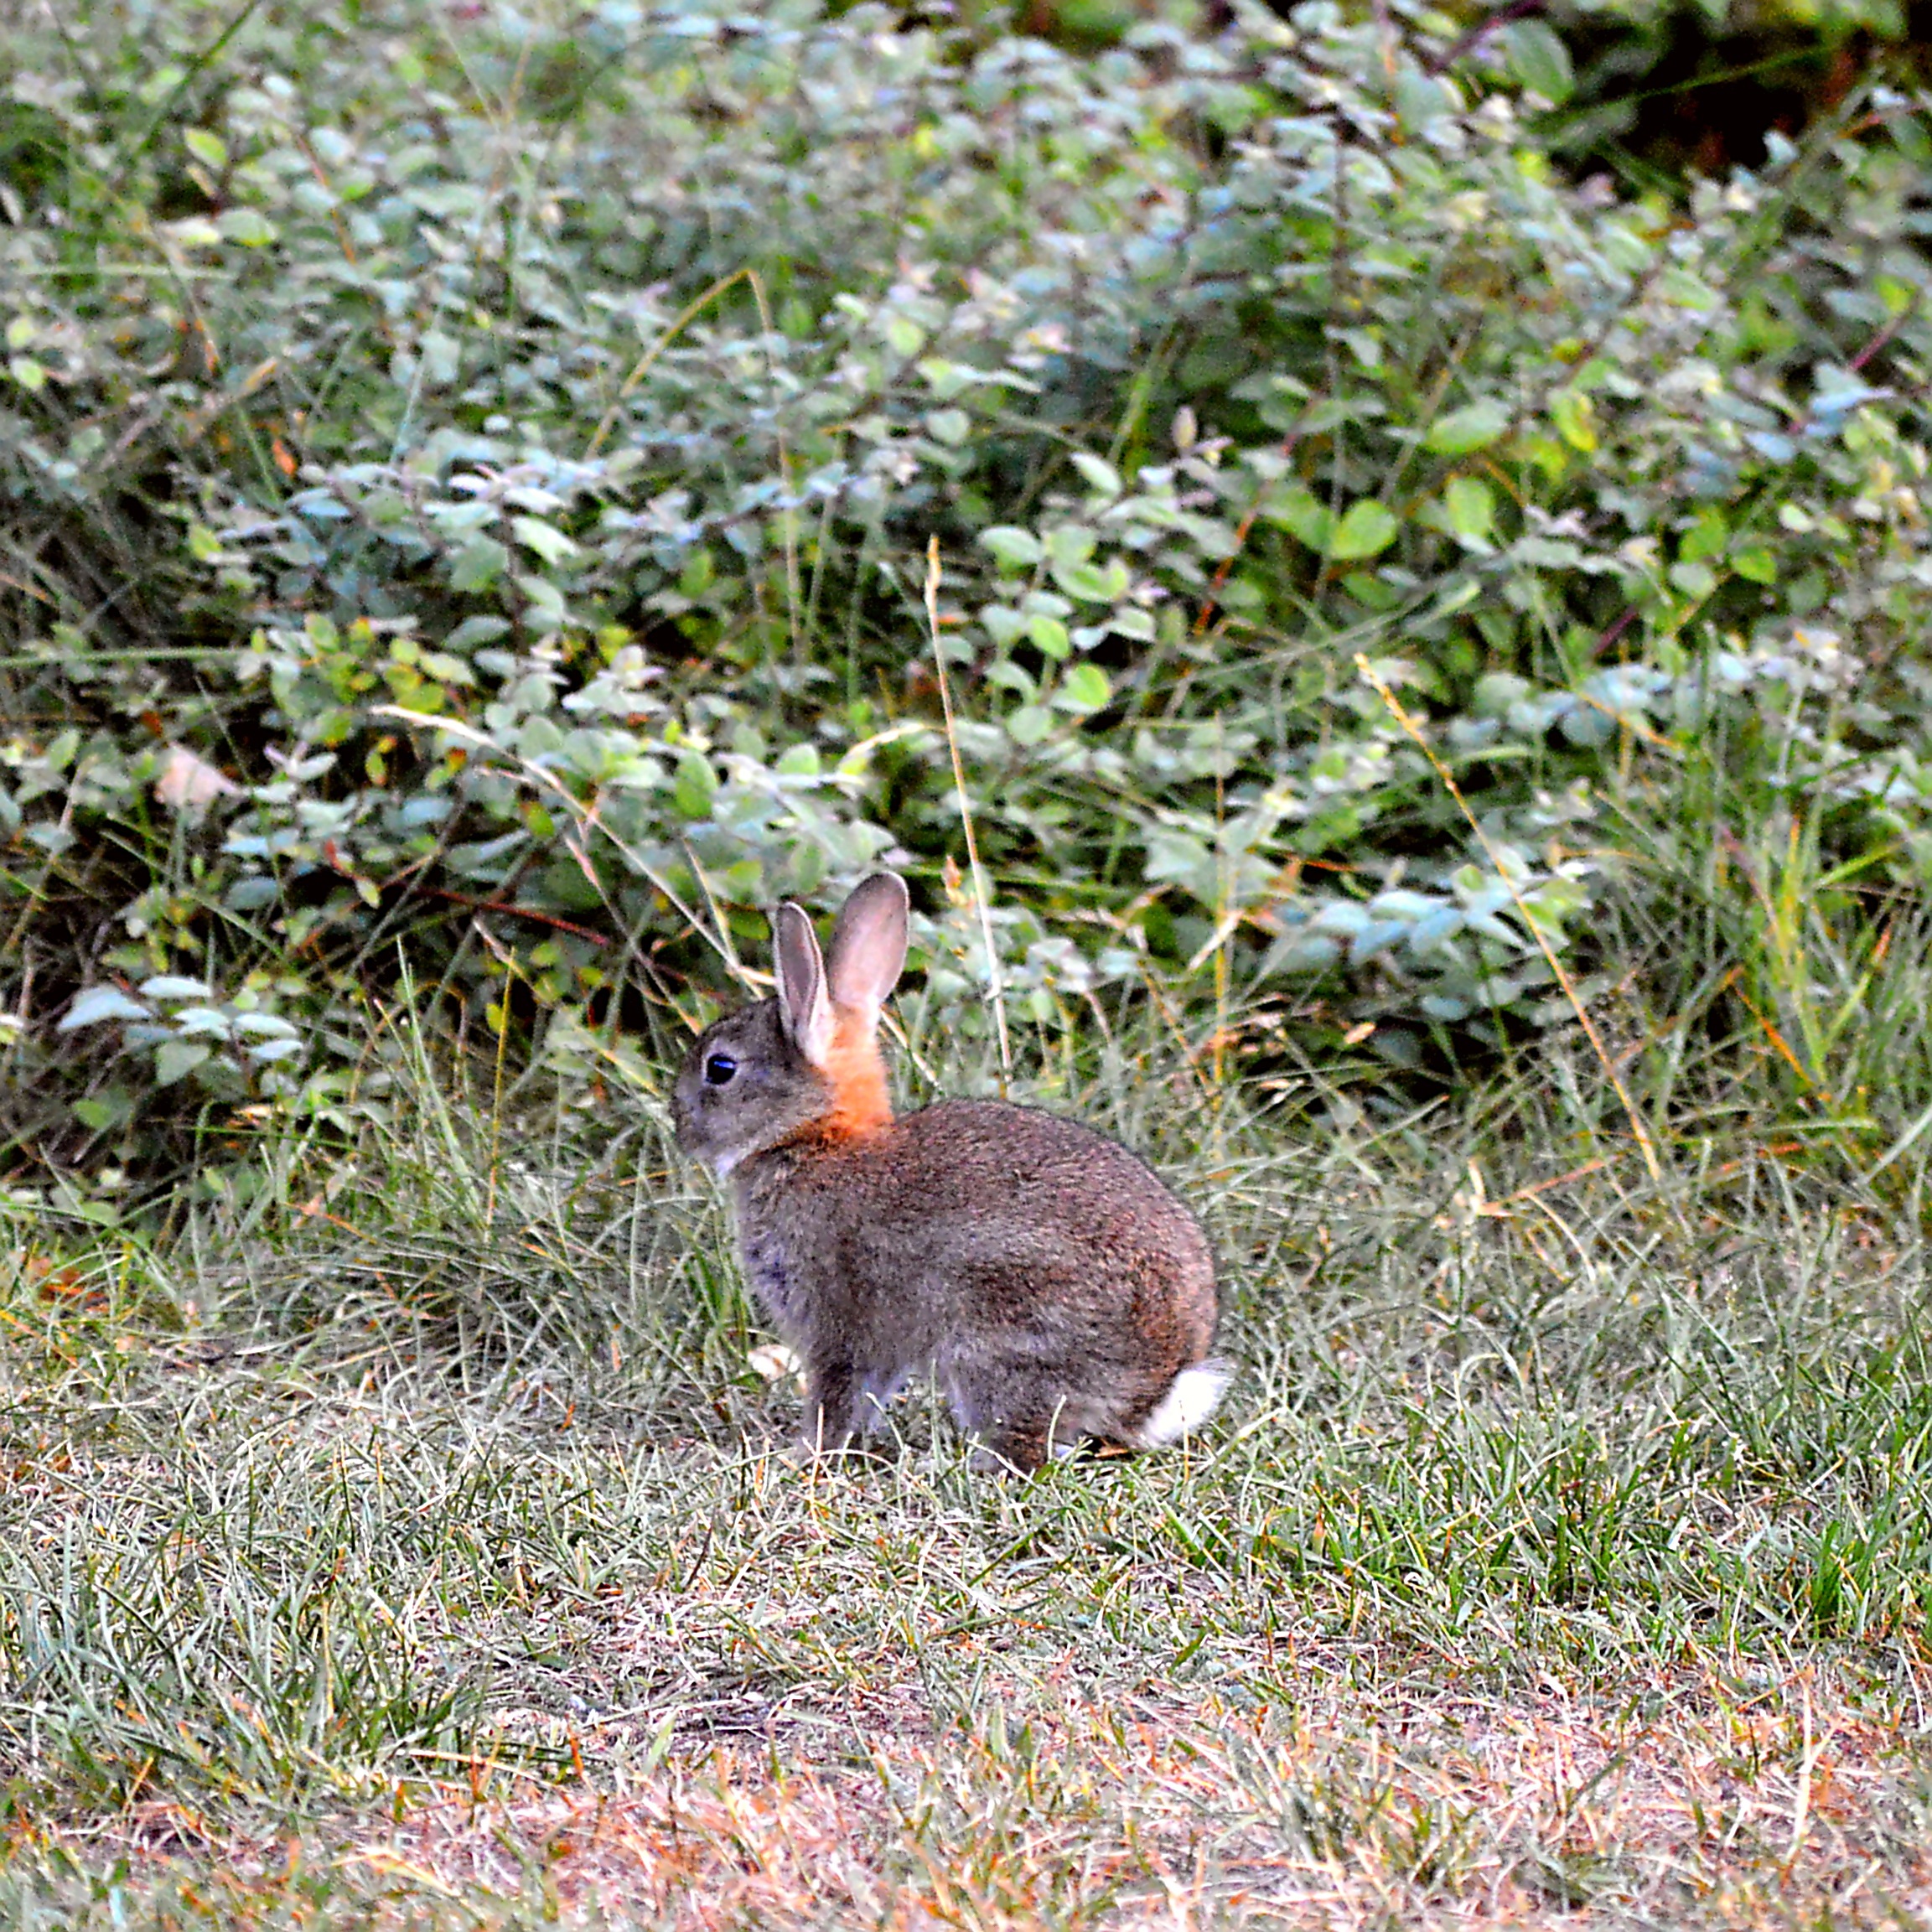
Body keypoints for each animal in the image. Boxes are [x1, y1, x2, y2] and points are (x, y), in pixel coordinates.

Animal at [672, 869, 1228, 1468]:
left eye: (721, 1068)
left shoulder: (838, 1322)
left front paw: (804, 1455)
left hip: (996, 1341)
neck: (814, 1137)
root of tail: (1154, 1392)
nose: (679, 1126)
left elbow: (837, 1396)